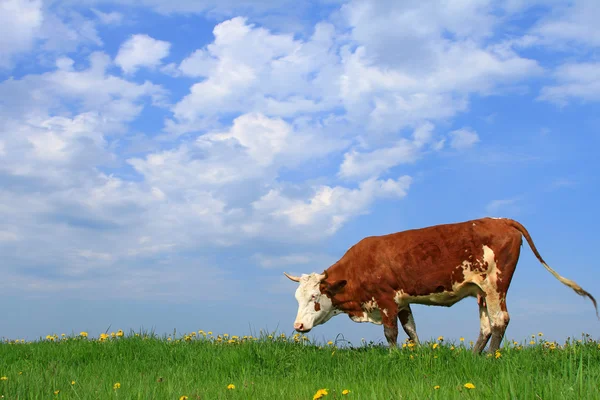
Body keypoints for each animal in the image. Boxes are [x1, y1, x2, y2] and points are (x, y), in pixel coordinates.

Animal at [284, 219, 596, 354]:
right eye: (296, 298)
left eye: (315, 295)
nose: (298, 326)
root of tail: (501, 220)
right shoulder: (402, 301)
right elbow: (411, 330)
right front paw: (417, 355)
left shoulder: (385, 300)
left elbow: (391, 334)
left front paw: (393, 357)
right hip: (481, 292)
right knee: (486, 325)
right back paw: (473, 357)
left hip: (496, 285)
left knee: (500, 320)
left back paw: (491, 357)